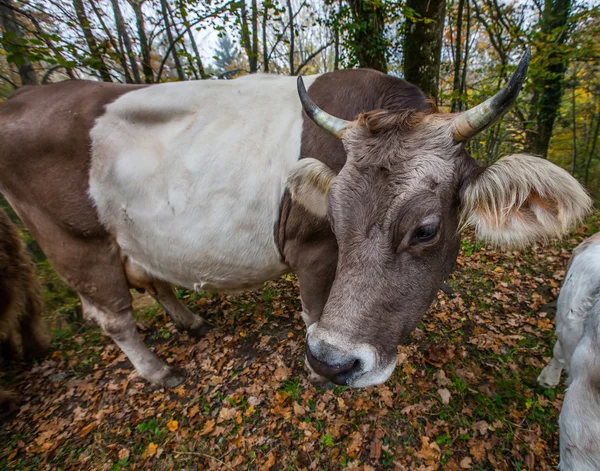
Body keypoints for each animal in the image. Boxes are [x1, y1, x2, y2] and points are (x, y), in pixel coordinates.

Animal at [0, 49, 592, 390]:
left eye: (425, 230)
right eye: (333, 217)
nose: (335, 365)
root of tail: (25, 94)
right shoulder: (311, 250)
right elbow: (313, 315)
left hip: (129, 236)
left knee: (150, 275)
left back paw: (189, 321)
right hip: (76, 241)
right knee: (114, 316)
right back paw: (158, 370)